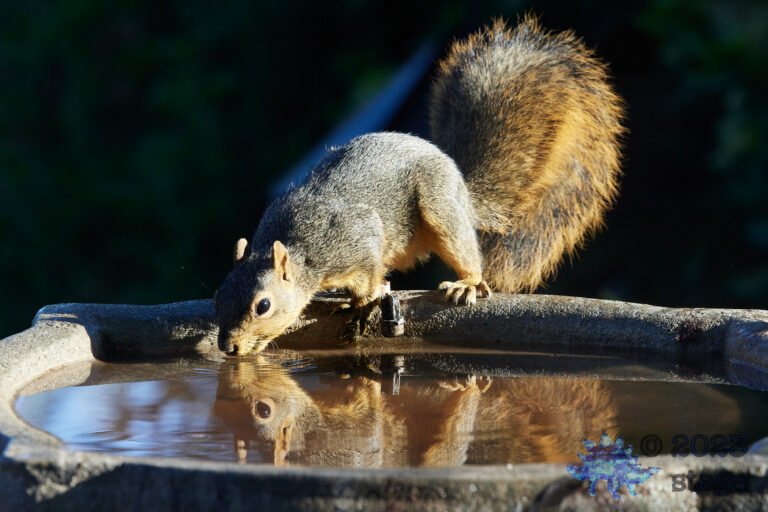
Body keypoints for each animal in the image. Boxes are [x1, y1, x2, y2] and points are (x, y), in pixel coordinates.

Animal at [214, 17, 623, 356]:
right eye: (218, 297)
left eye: (263, 305)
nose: (228, 348)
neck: (301, 250)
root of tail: (462, 187)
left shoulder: (358, 240)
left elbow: (369, 279)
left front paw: (361, 303)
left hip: (439, 207)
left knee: (467, 254)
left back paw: (466, 283)